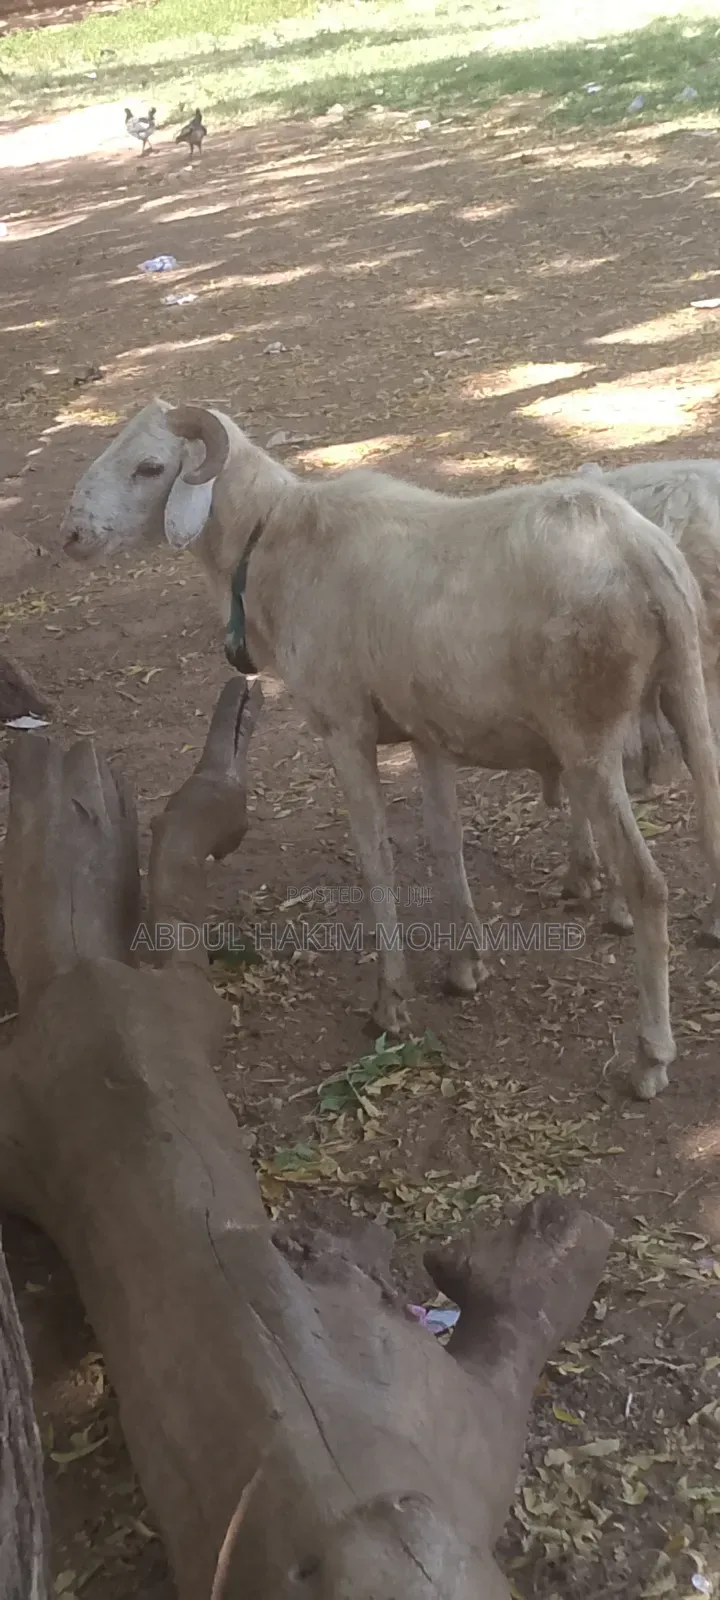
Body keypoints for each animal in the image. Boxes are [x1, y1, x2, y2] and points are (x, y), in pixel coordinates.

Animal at [61, 399, 720, 1100]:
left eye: (149, 467)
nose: (71, 535)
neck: (274, 542)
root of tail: (643, 554)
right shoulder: (425, 732)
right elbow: (445, 841)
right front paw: (465, 963)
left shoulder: (344, 726)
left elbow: (375, 856)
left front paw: (391, 1000)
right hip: (687, 690)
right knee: (711, 821)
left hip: (588, 736)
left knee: (648, 884)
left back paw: (651, 1056)